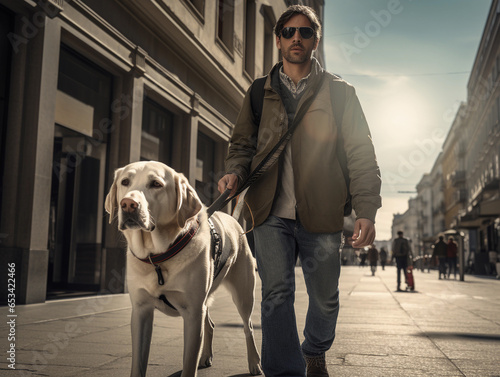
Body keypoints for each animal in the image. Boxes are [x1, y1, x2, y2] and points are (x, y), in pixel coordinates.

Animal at [105, 161, 262, 376]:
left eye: (156, 184)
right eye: (125, 182)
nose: (128, 204)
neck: (158, 257)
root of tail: (233, 220)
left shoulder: (193, 313)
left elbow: (189, 363)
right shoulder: (140, 311)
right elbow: (138, 363)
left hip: (243, 295)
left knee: (248, 327)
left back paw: (254, 363)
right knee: (210, 325)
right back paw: (205, 357)